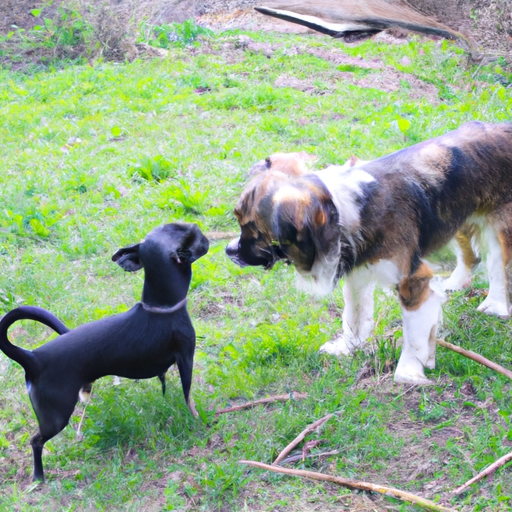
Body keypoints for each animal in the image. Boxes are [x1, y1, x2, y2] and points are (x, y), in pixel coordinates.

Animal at [0, 222, 208, 482]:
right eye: (182, 231)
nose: (199, 229)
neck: (160, 306)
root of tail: (33, 358)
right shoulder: (186, 358)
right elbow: (188, 396)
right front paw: (197, 421)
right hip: (55, 417)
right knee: (36, 441)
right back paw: (39, 476)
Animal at [226, 121, 512, 384]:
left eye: (251, 229)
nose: (228, 250)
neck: (340, 211)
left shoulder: (413, 282)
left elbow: (413, 339)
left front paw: (408, 373)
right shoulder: (357, 271)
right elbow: (353, 318)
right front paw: (347, 347)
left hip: (497, 228)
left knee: (498, 267)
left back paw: (496, 305)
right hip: (452, 215)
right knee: (470, 255)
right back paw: (454, 283)